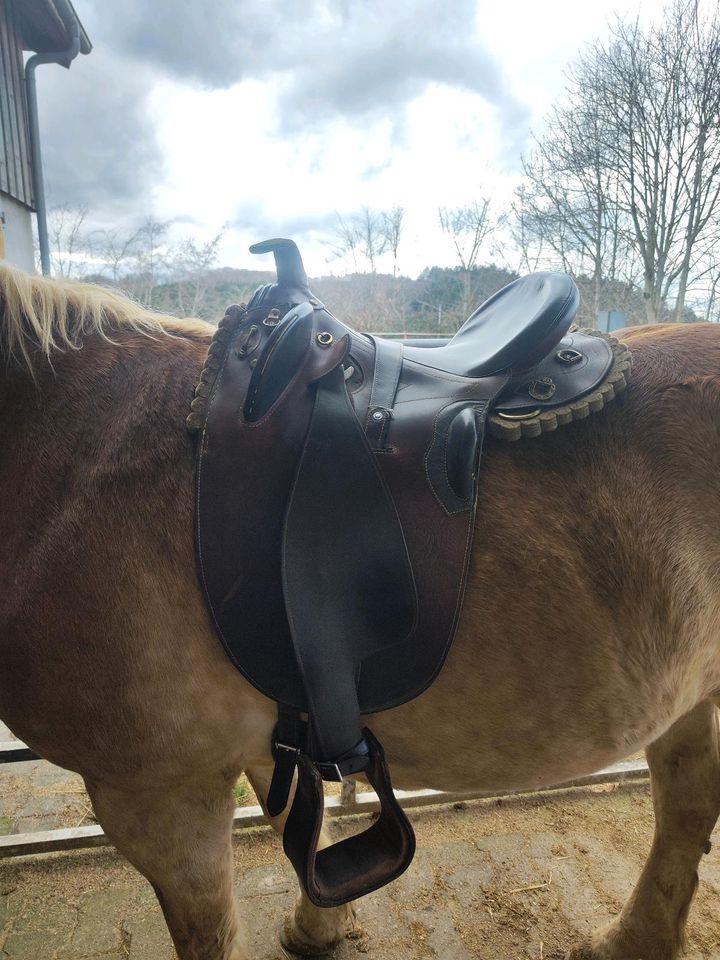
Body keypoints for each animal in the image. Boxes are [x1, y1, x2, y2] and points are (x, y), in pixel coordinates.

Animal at [1, 262, 720, 960]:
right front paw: (320, 927)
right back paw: (633, 940)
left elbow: (209, 932)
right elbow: (297, 824)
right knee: (689, 799)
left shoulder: (159, 790)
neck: (77, 445)